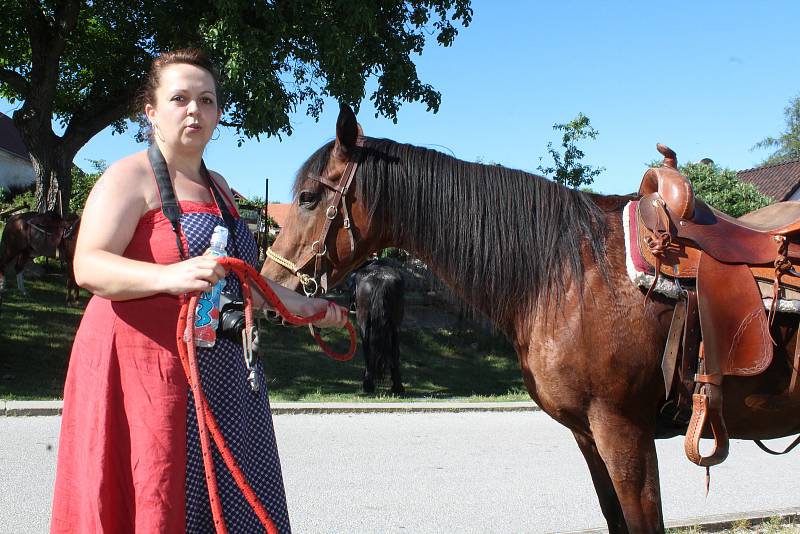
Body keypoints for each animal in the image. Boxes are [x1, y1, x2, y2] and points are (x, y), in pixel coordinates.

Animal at [352, 262, 404, 396]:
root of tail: (381, 279)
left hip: (363, 322)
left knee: (367, 348)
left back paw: (368, 384)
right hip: (395, 325)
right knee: (395, 351)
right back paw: (397, 386)